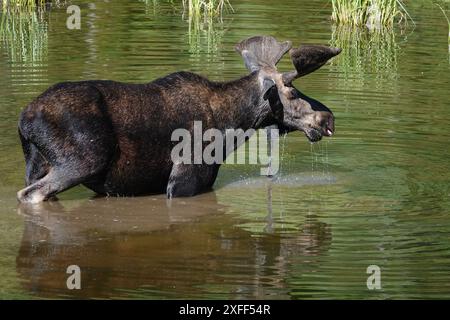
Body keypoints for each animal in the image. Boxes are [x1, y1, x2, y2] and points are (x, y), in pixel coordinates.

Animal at [17, 35, 342, 205]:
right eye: (292, 90)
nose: (328, 118)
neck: (232, 123)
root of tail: (24, 120)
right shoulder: (185, 178)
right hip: (83, 160)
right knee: (31, 195)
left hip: (36, 163)